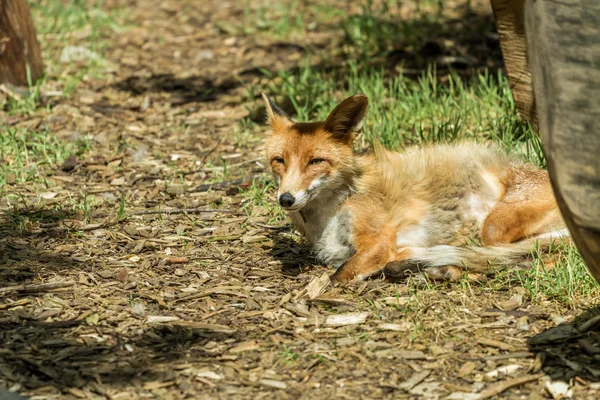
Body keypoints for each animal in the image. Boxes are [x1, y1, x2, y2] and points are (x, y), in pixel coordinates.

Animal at [262, 93, 568, 282]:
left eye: (315, 161)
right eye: (279, 160)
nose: (286, 199)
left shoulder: (379, 242)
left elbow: (337, 277)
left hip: (494, 228)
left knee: (525, 260)